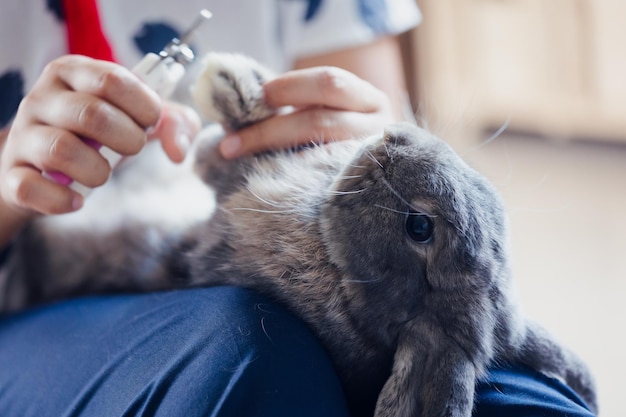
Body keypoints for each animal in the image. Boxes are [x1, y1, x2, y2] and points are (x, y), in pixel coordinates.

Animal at [0, 52, 596, 416]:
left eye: (420, 228)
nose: (394, 139)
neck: (335, 258)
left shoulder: (232, 184)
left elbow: (216, 153)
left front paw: (223, 81)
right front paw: (237, 81)